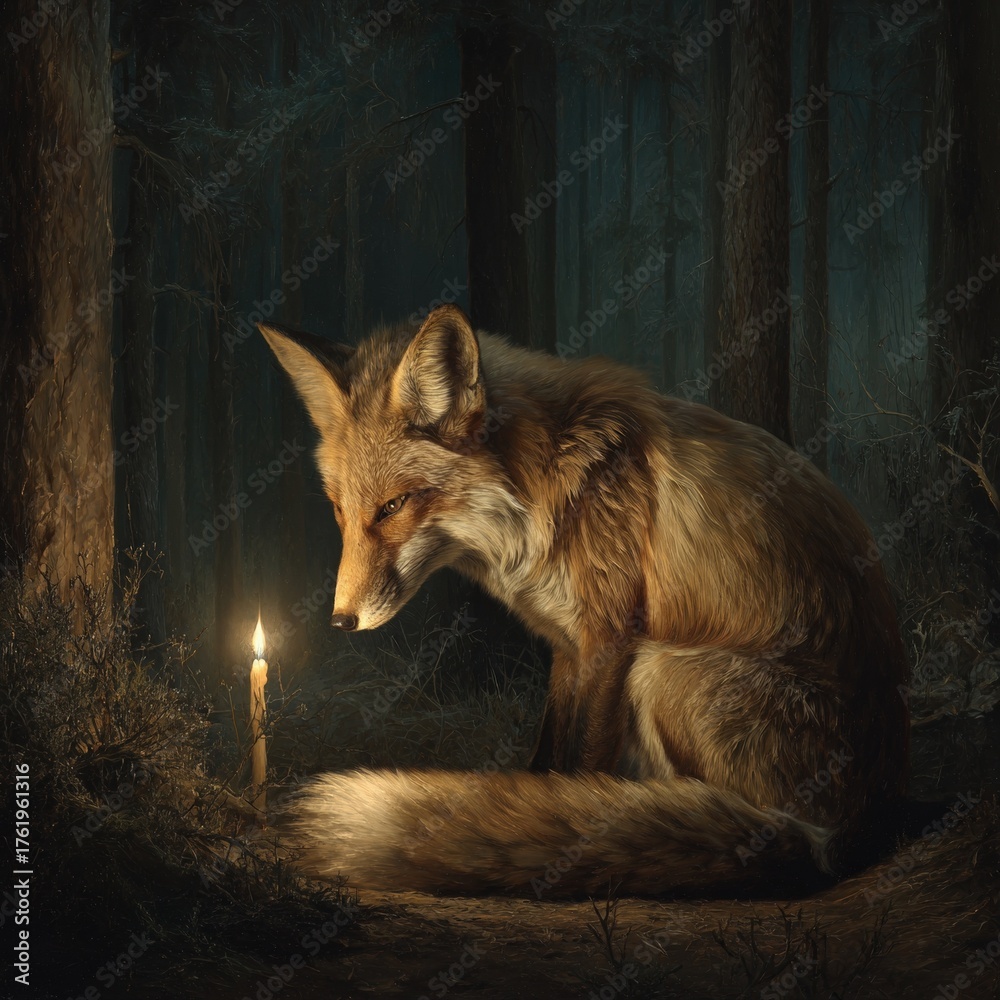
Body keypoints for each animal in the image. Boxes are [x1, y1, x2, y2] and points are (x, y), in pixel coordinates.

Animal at [259, 304, 909, 898]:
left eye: (393, 506)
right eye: (339, 509)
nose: (341, 619)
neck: (542, 493)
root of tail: (852, 832)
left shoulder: (611, 639)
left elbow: (584, 762)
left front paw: (572, 830)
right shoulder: (567, 644)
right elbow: (549, 756)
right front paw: (528, 809)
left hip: (659, 669)